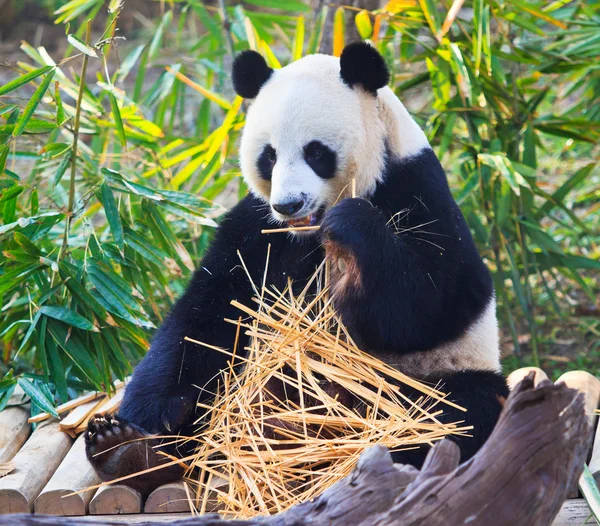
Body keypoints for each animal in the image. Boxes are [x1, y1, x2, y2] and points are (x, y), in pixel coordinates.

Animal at [83, 43, 506, 498]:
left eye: (316, 152)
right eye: (268, 156)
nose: (289, 204)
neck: (308, 232)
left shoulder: (417, 189)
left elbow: (436, 302)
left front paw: (350, 233)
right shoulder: (254, 228)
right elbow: (205, 319)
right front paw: (146, 427)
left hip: (436, 376)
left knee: (455, 412)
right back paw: (129, 453)